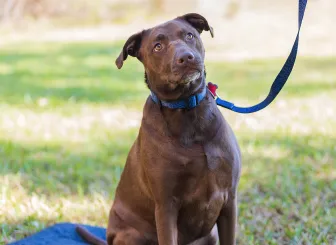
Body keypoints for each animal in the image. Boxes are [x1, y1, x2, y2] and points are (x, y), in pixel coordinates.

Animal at [77, 13, 240, 245]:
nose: (186, 58)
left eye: (189, 35)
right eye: (157, 46)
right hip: (131, 235)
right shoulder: (166, 206)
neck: (187, 110)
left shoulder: (229, 200)